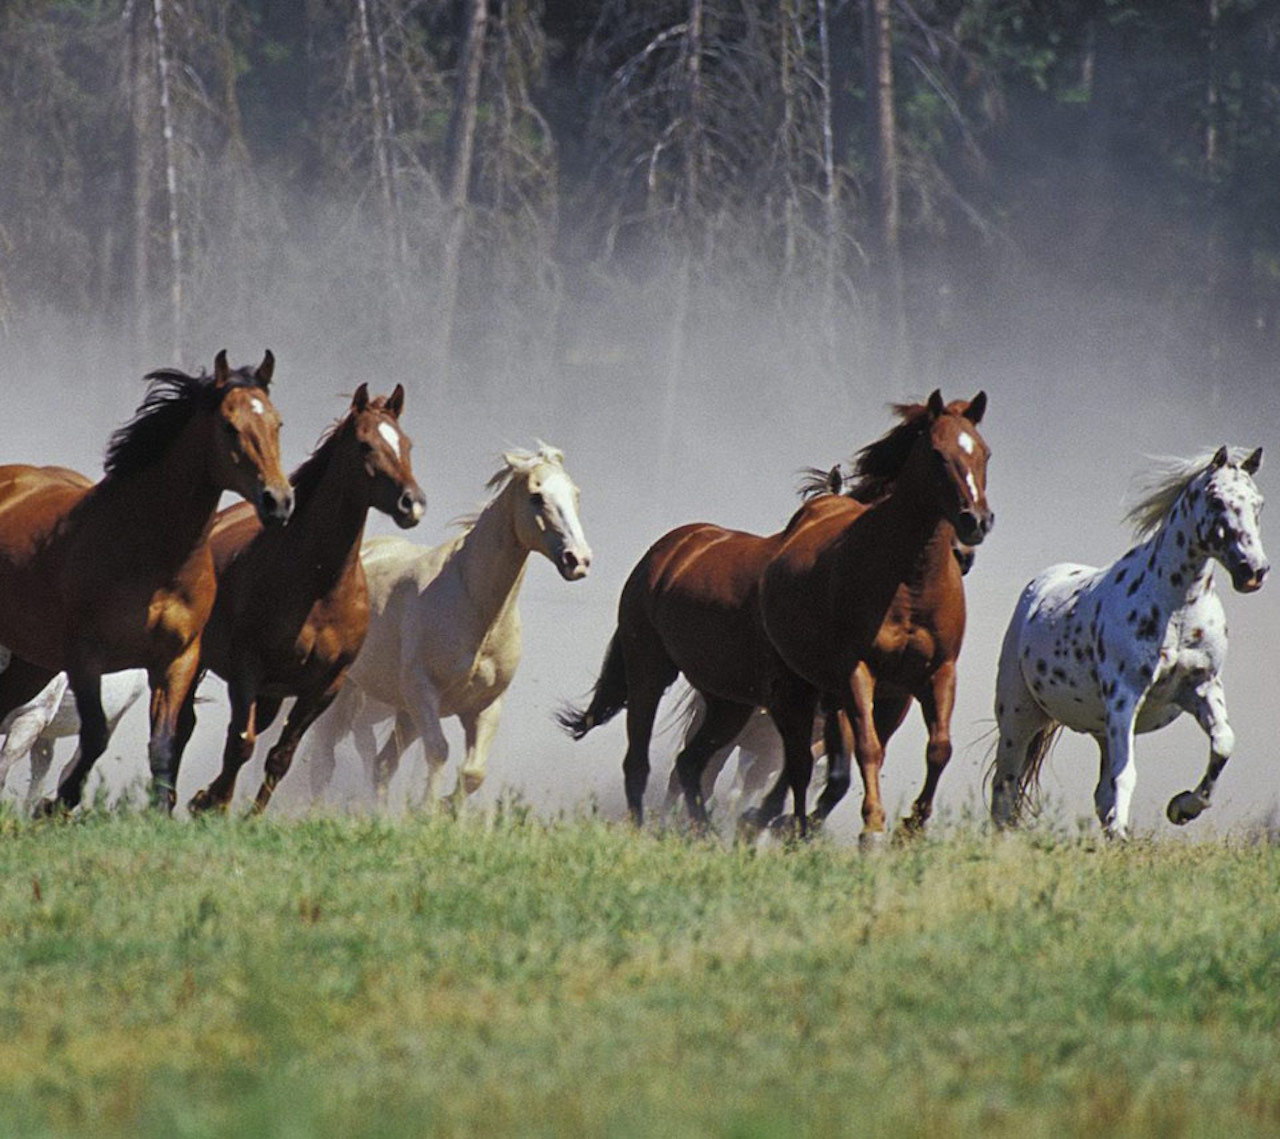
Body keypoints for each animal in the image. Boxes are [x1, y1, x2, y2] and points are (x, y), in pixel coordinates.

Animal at [175, 384, 426, 815]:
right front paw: (215, 805)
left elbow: (280, 756)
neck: (318, 589)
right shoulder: (247, 671)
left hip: (273, 693)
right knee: (183, 725)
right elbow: (241, 744)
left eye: (405, 443)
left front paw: (245, 815)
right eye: (364, 445)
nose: (412, 503)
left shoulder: (324, 686)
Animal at [306, 444, 591, 807]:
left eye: (576, 494)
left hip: (403, 712)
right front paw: (427, 809)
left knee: (381, 765)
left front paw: (444, 806)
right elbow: (439, 752)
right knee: (323, 761)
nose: (578, 560)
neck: (476, 611)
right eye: (536, 496)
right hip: (345, 696)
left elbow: (473, 773)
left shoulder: (485, 706)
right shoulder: (424, 692)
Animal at [989, 446, 1267, 839]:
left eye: (1258, 504)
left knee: (1097, 791)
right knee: (1005, 786)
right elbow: (1126, 774)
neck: (1177, 609)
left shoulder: (1200, 687)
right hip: (1019, 715)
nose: (1254, 571)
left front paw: (1182, 808)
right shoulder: (1125, 695)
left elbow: (1223, 744)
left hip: (1104, 728)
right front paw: (1125, 829)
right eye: (1216, 499)